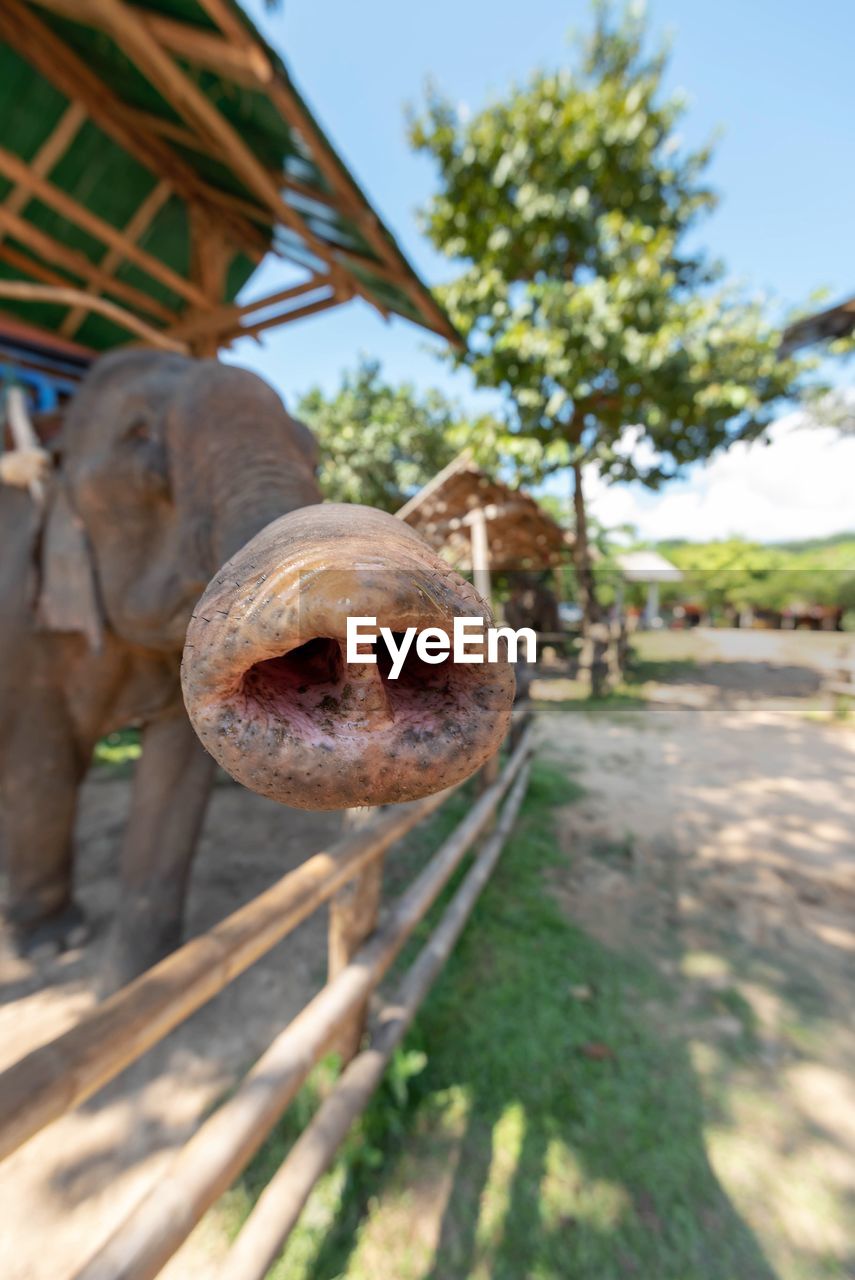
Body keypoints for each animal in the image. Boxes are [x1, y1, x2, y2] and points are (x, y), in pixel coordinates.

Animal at [0, 350, 511, 988]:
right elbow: (38, 762)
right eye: (139, 438)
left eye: (313, 450)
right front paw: (57, 946)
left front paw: (141, 975)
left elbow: (175, 775)